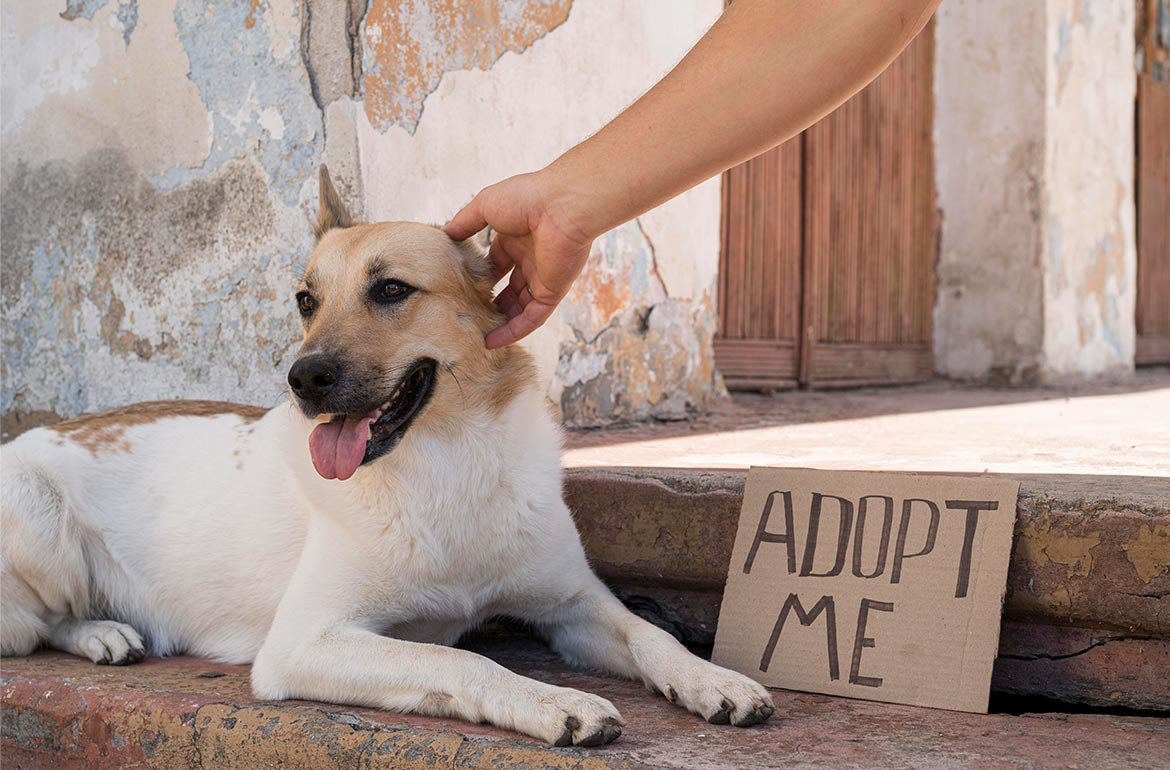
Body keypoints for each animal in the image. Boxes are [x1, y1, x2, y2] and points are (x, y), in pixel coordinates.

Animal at [2, 163, 776, 744]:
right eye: (305, 300)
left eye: (392, 289)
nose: (303, 380)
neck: (447, 462)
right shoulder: (304, 643)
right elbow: (452, 659)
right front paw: (552, 701)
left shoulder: (573, 605)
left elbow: (652, 636)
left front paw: (713, 679)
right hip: (41, 525)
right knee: (33, 626)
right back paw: (102, 633)